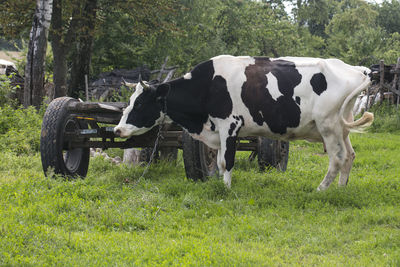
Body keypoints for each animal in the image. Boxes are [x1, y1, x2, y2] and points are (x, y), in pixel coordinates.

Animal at [114, 56, 374, 191]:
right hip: (341, 128)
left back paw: (320, 190)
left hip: (328, 126)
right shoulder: (217, 131)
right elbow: (219, 161)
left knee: (337, 158)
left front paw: (227, 190)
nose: (117, 129)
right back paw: (341, 188)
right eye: (130, 101)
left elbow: (227, 161)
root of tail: (356, 69)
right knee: (350, 155)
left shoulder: (230, 125)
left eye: (140, 104)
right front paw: (220, 184)